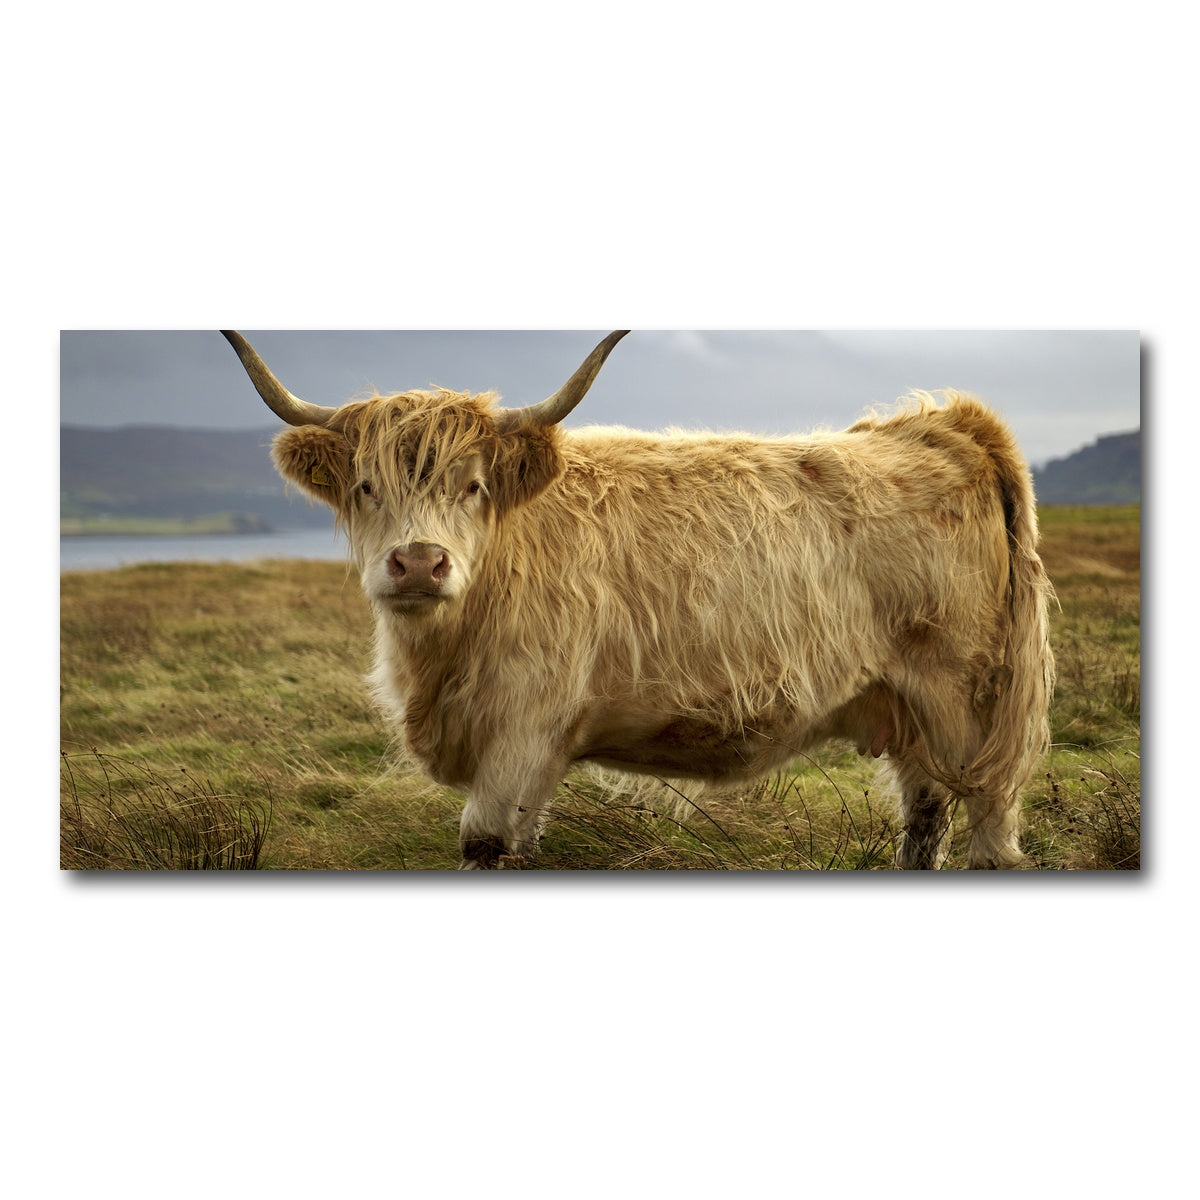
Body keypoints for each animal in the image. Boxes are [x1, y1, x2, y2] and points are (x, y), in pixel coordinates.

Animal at [222, 330, 1055, 870]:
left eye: (475, 486)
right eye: (366, 486)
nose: (421, 563)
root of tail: (942, 422)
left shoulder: (520, 731)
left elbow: (484, 845)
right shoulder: (536, 753)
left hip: (968, 703)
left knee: (987, 823)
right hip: (909, 707)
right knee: (925, 818)